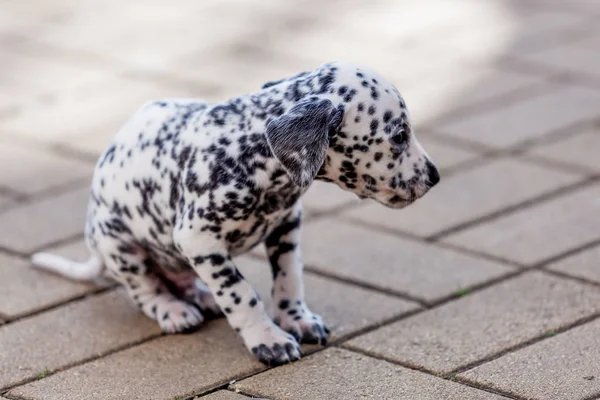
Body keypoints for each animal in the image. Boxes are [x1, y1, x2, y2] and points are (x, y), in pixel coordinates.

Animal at [31, 61, 440, 366]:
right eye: (399, 135)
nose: (435, 176)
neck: (248, 151)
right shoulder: (198, 239)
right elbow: (240, 293)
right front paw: (268, 339)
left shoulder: (287, 226)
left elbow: (289, 279)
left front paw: (297, 319)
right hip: (122, 246)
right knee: (146, 289)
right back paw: (174, 309)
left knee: (184, 282)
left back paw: (202, 296)